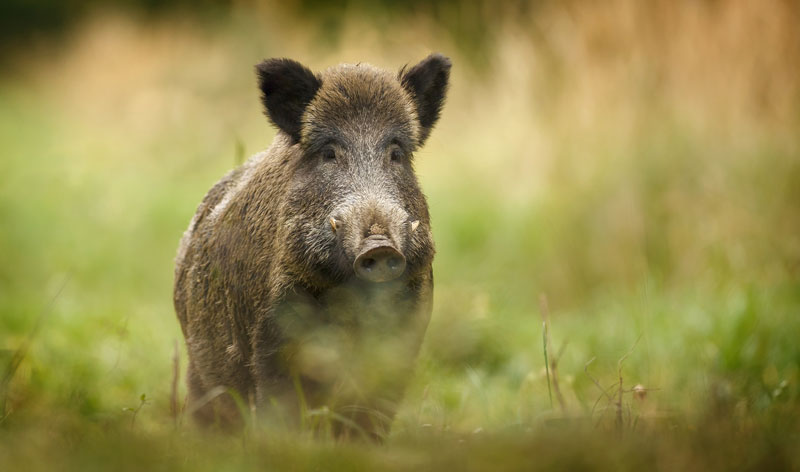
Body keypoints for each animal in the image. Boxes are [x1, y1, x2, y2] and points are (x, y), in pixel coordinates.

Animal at [173, 54, 450, 439]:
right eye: (329, 153)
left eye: (396, 153)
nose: (379, 246)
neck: (351, 302)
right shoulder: (272, 336)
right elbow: (281, 407)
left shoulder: (405, 335)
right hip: (200, 373)